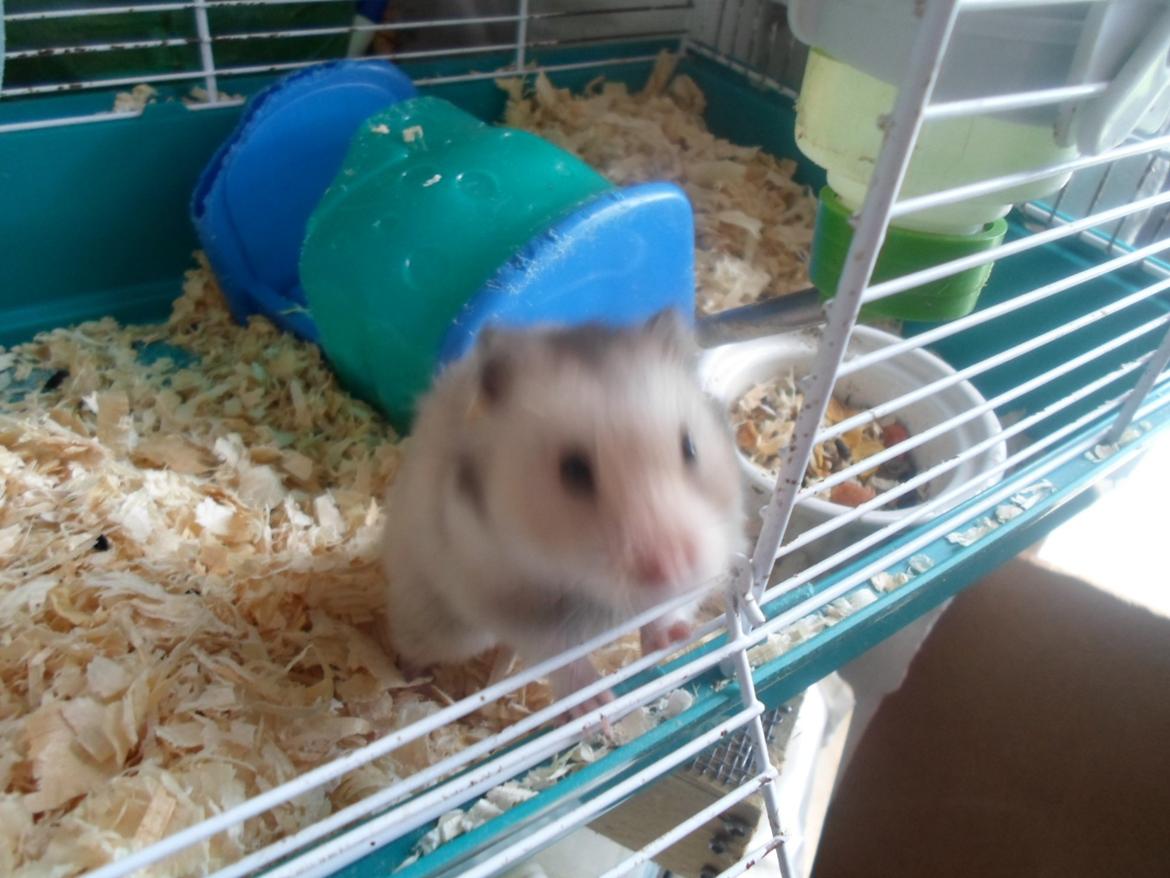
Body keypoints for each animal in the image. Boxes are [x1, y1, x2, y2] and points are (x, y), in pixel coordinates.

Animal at [381, 310, 745, 714]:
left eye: (690, 447)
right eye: (573, 470)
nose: (674, 566)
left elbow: (668, 608)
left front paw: (675, 639)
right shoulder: (508, 599)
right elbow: (560, 653)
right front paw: (596, 704)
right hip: (443, 625)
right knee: (412, 642)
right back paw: (412, 684)